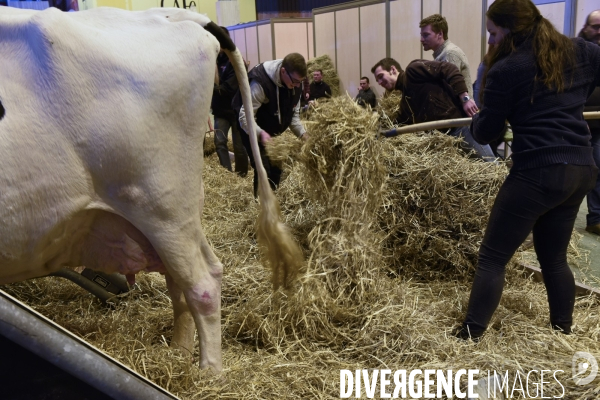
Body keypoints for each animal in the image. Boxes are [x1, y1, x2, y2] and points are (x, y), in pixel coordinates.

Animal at [0, 6, 300, 372]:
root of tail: (174, 15)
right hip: (177, 214)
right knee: (180, 283)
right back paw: (177, 356)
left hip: (163, 207)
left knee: (202, 283)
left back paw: (209, 373)